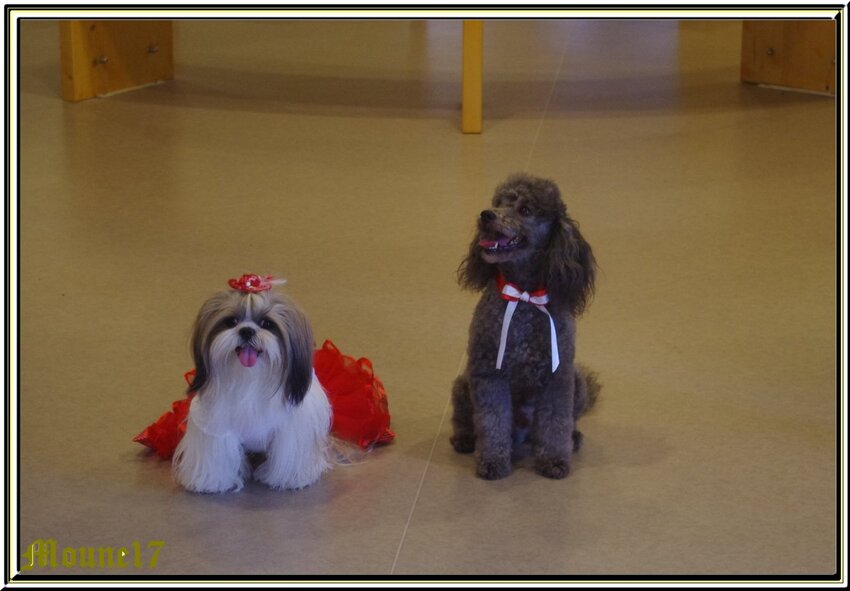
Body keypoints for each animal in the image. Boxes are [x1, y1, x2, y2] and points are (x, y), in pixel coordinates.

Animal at [172, 276, 332, 492]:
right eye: (231, 321)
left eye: (267, 323)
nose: (247, 330)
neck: (250, 380)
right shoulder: (216, 424)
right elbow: (217, 452)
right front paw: (212, 481)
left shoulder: (291, 427)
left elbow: (288, 451)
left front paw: (290, 479)